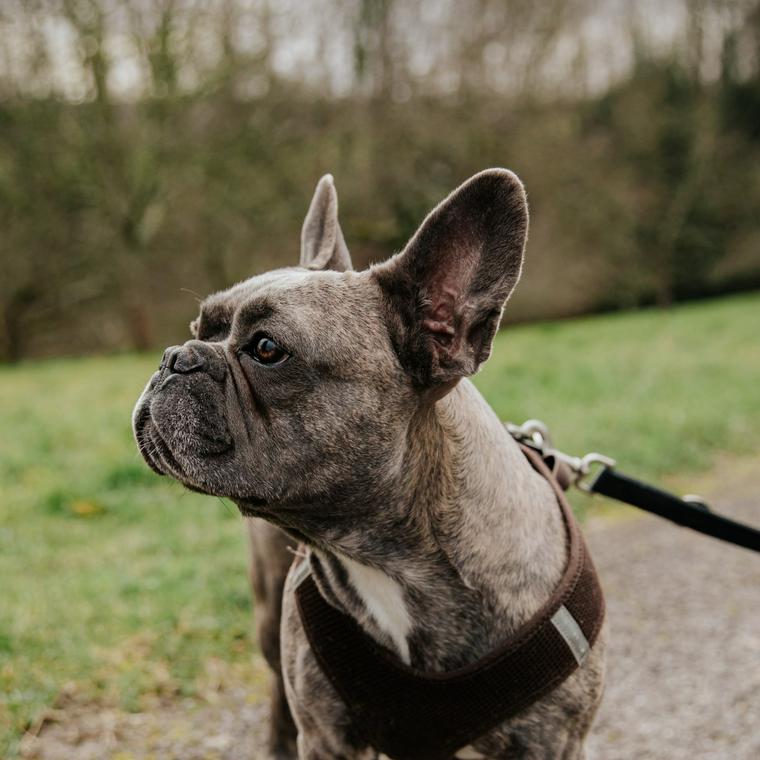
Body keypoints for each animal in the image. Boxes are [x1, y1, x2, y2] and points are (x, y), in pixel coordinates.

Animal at [131, 172, 604, 760]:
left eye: (266, 349)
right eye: (198, 326)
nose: (176, 357)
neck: (386, 558)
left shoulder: (551, 742)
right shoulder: (328, 738)